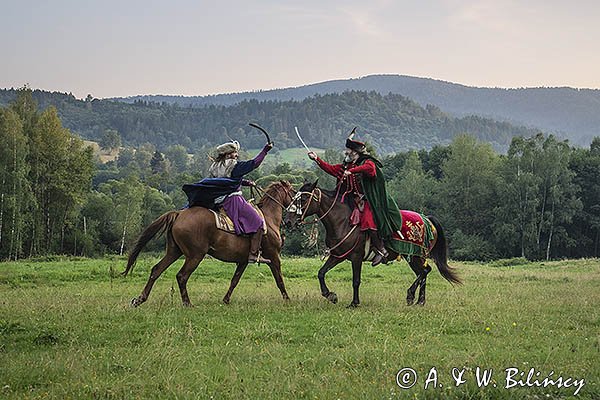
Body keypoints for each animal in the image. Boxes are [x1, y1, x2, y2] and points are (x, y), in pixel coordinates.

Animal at [122, 181, 296, 306]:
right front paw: (288, 299)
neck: (269, 218)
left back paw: (140, 299)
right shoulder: (273, 256)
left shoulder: (243, 261)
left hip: (174, 251)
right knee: (181, 276)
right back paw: (187, 303)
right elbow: (279, 279)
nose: (290, 220)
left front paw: (226, 300)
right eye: (294, 192)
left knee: (156, 270)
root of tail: (178, 214)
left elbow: (234, 280)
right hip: (195, 255)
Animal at [284, 181, 460, 310]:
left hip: (416, 255)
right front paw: (331, 295)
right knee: (423, 272)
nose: (288, 222)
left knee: (424, 271)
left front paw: (354, 303)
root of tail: (427, 219)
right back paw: (419, 301)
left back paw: (411, 296)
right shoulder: (337, 256)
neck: (342, 221)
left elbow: (356, 280)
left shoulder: (356, 257)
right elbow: (321, 273)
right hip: (413, 257)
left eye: (303, 200)